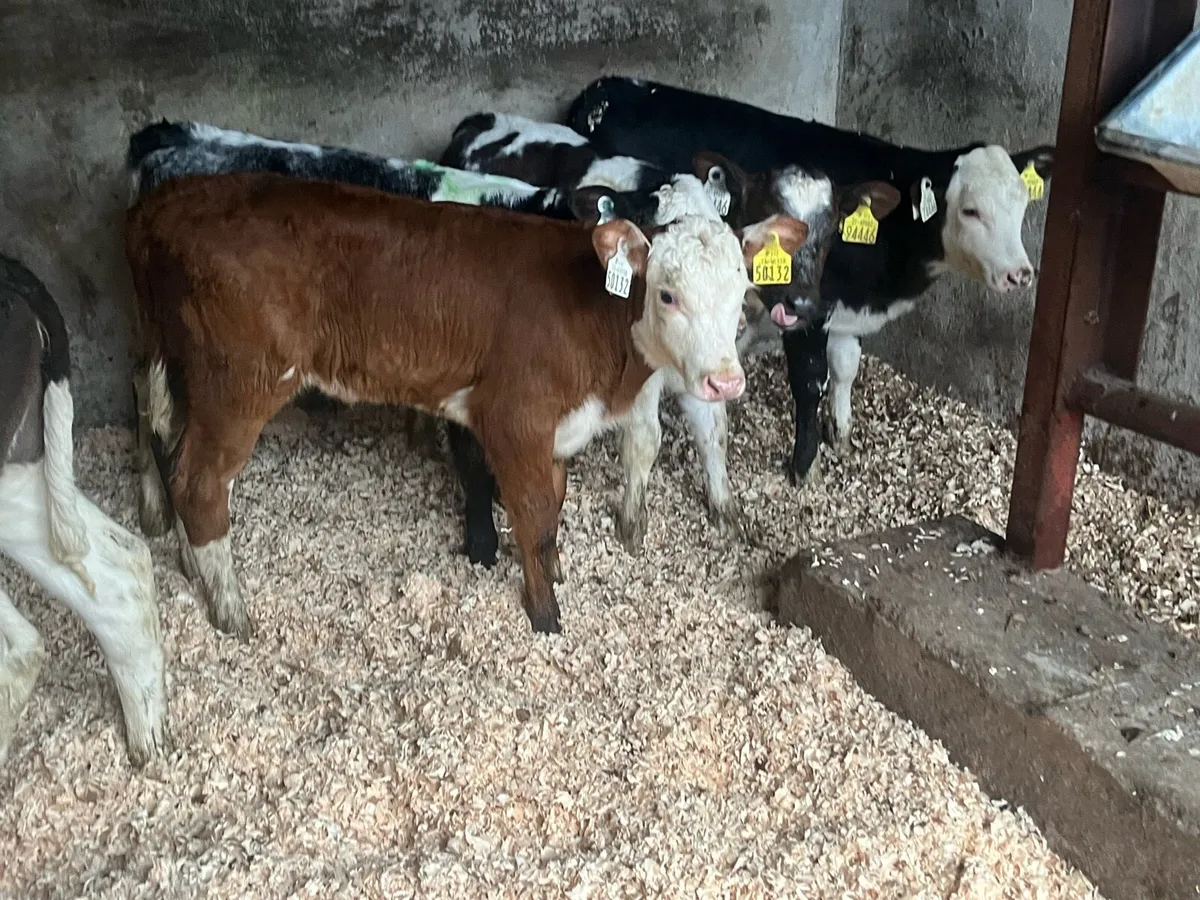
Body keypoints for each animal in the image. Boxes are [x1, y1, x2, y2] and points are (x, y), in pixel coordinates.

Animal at [126, 172, 807, 635]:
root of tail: (169, 199)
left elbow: (553, 509)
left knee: (164, 447)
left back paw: (187, 562)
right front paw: (546, 614)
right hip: (239, 381)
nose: (724, 382)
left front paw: (555, 573)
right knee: (201, 482)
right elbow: (531, 516)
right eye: (666, 294)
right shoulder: (515, 418)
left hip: (173, 364)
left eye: (743, 287)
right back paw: (231, 611)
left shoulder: (556, 429)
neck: (595, 314)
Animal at [566, 75, 1055, 483]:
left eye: (1022, 203)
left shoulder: (840, 306)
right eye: (971, 210)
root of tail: (605, 85)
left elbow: (846, 366)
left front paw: (842, 432)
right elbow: (810, 379)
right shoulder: (807, 313)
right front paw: (806, 464)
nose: (1020, 273)